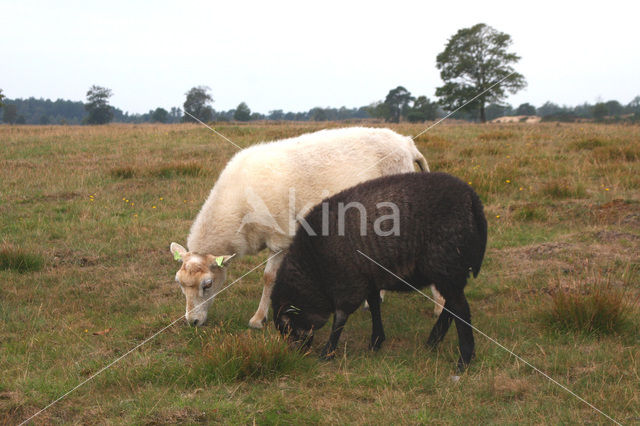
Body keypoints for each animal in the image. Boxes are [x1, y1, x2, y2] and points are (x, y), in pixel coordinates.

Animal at [168, 125, 442, 326]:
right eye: (179, 283)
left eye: (207, 285)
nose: (192, 322)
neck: (238, 208)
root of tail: (407, 144)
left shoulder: (281, 237)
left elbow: (269, 277)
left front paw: (259, 319)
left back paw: (440, 306)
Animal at [270, 171, 484, 372]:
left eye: (288, 327)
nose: (297, 353)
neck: (313, 269)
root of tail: (472, 198)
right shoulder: (369, 277)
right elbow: (374, 305)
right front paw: (376, 341)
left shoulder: (349, 282)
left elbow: (340, 317)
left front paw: (328, 352)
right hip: (451, 270)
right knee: (452, 307)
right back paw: (434, 341)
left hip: (445, 265)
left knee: (461, 309)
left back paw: (464, 358)